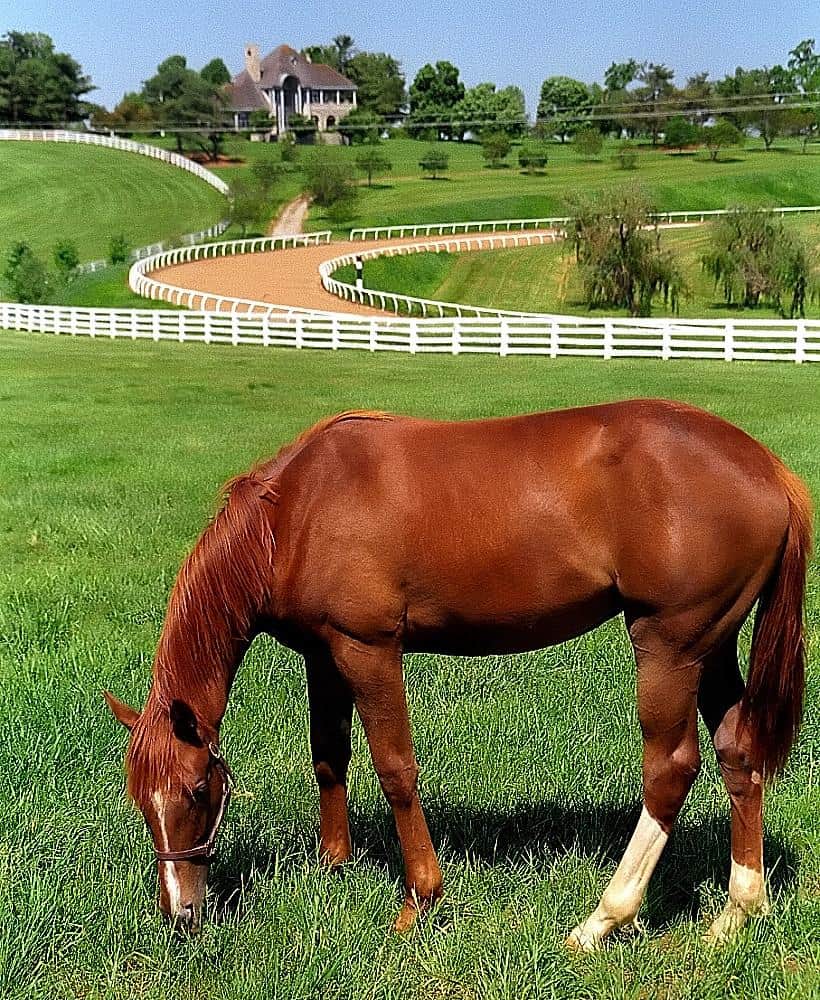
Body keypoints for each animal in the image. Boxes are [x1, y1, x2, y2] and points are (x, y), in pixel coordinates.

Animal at [104, 400, 811, 948]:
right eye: (141, 800)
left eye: (198, 790)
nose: (180, 912)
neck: (296, 511)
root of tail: (770, 470)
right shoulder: (323, 654)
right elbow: (329, 756)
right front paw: (335, 870)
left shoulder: (368, 649)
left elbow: (394, 767)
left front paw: (420, 900)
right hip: (712, 648)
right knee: (738, 753)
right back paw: (737, 913)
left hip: (669, 647)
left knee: (671, 770)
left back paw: (602, 921)